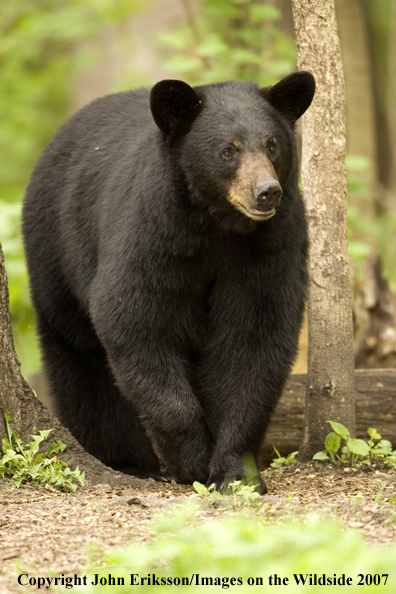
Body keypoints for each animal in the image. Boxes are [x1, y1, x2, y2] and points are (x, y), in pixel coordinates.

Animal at [23, 71, 316, 492]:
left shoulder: (270, 249)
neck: (219, 226)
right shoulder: (153, 234)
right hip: (56, 249)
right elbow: (136, 322)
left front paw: (234, 471)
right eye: (228, 150)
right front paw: (190, 462)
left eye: (272, 145)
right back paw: (125, 460)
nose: (267, 192)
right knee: (78, 350)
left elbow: (253, 341)